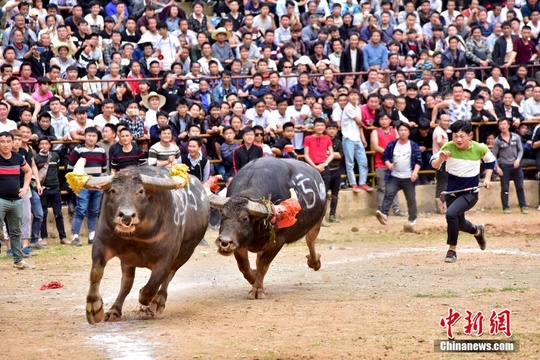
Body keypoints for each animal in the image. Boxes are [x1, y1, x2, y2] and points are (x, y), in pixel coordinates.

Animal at [83, 166, 209, 324]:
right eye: (113, 190)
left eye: (140, 191)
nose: (126, 216)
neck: (136, 236)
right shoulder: (102, 242)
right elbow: (96, 272)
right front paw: (94, 307)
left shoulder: (166, 257)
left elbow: (153, 285)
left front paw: (146, 300)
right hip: (128, 260)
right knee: (127, 282)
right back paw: (114, 310)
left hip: (186, 253)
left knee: (169, 276)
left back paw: (157, 302)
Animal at [207, 157, 324, 298]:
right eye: (223, 215)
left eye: (244, 218)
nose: (224, 242)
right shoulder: (239, 241)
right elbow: (244, 266)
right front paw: (254, 277)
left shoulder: (278, 241)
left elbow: (263, 264)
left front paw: (257, 290)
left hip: (317, 222)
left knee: (310, 241)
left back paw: (314, 262)